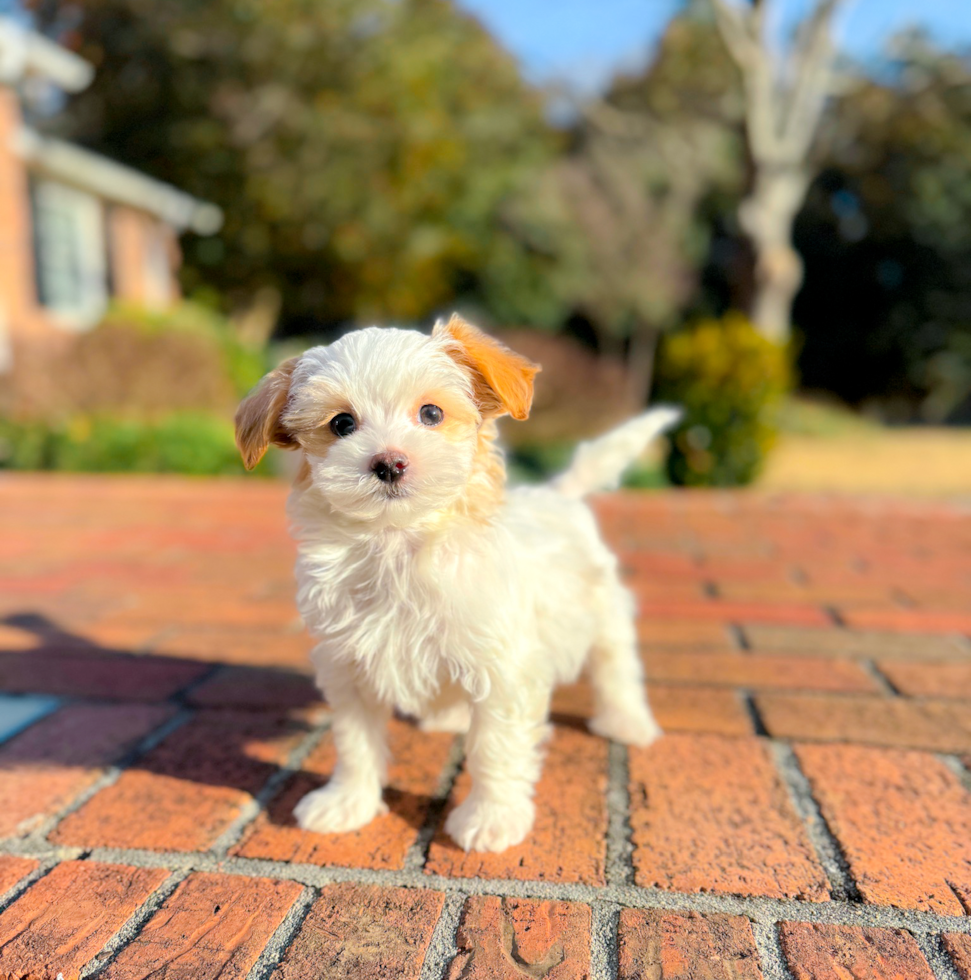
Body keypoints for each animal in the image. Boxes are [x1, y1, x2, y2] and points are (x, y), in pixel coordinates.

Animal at [235, 314, 680, 848]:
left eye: (431, 413)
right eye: (341, 424)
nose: (389, 463)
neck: (397, 544)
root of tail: (558, 492)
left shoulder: (504, 665)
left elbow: (494, 746)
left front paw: (491, 817)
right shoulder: (349, 664)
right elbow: (355, 741)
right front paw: (348, 802)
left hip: (602, 609)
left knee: (616, 664)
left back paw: (626, 721)